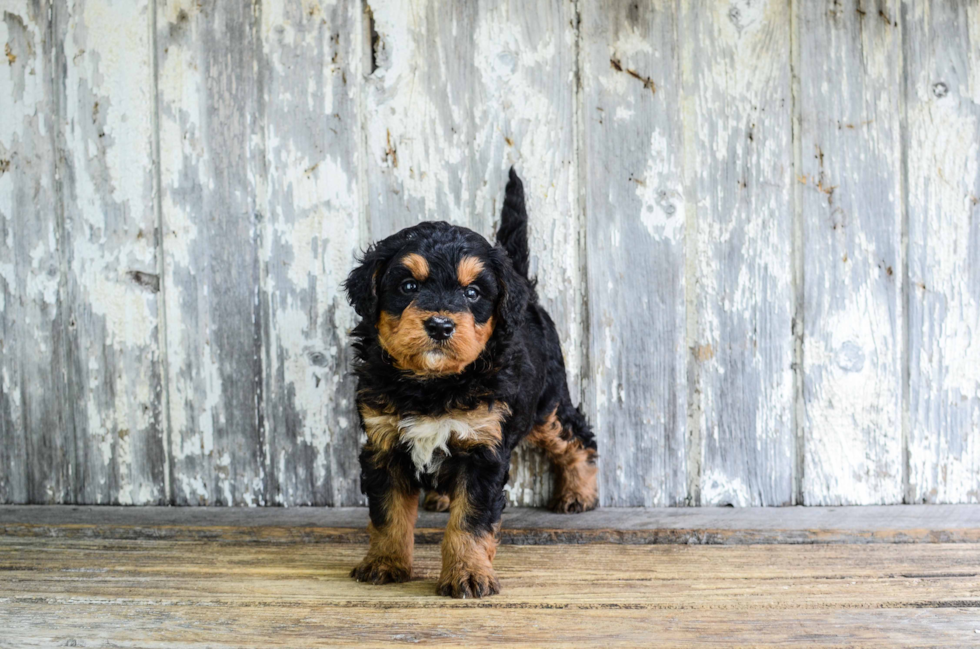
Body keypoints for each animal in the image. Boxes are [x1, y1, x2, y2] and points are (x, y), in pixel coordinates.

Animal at [344, 168, 596, 596]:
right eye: (408, 286)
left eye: (473, 292)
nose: (440, 325)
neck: (433, 384)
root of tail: (527, 291)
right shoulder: (383, 444)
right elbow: (388, 514)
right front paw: (384, 563)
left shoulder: (483, 448)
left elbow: (471, 521)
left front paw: (467, 574)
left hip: (547, 402)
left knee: (575, 436)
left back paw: (579, 492)